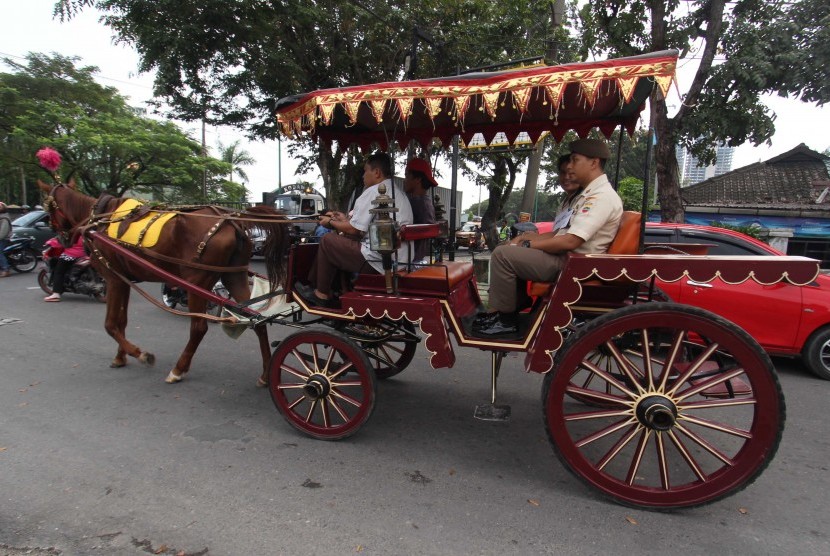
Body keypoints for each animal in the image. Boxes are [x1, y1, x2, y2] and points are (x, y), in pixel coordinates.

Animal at [39, 180, 292, 384]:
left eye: (48, 207)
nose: (61, 237)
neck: (100, 220)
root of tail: (232, 221)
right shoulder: (123, 279)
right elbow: (122, 322)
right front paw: (120, 356)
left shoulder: (113, 278)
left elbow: (110, 324)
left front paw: (140, 354)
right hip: (234, 275)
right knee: (257, 321)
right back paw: (265, 374)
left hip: (197, 280)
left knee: (199, 327)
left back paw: (178, 370)